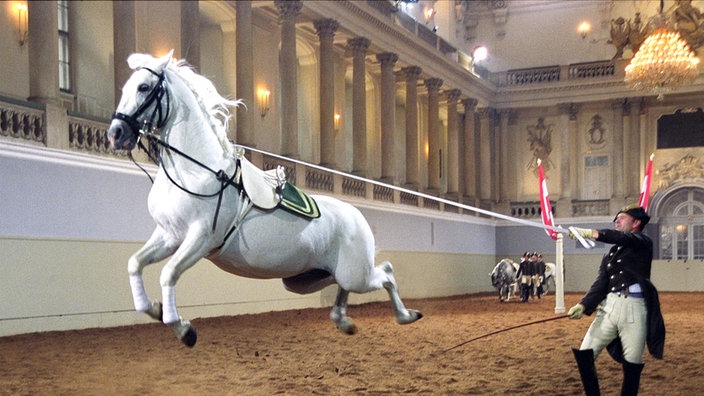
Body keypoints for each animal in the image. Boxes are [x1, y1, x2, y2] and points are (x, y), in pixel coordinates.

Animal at [107, 51, 420, 346]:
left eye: (144, 87)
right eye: (125, 87)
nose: (115, 133)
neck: (198, 170)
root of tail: (357, 216)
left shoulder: (201, 238)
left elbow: (168, 273)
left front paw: (184, 329)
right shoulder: (170, 235)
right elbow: (134, 263)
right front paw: (155, 309)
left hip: (355, 273)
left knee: (386, 273)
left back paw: (406, 315)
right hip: (311, 277)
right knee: (350, 285)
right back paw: (344, 320)